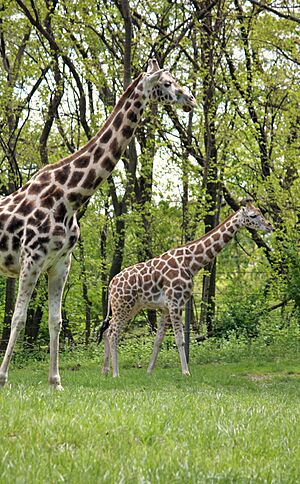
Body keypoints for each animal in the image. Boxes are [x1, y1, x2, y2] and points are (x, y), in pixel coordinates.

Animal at [0, 58, 197, 390]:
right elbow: (19, 317)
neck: (69, 197)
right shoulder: (31, 259)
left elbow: (55, 321)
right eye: (167, 83)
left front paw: (55, 381)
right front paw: (2, 377)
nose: (191, 99)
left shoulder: (60, 262)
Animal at [99, 199, 274, 376]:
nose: (270, 226)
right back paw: (116, 374)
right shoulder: (175, 303)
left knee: (107, 330)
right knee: (113, 333)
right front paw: (185, 372)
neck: (191, 263)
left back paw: (105, 371)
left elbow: (158, 340)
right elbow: (180, 339)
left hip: (131, 307)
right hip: (123, 305)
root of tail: (111, 284)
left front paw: (149, 372)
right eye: (253, 215)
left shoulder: (166, 307)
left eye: (261, 211)